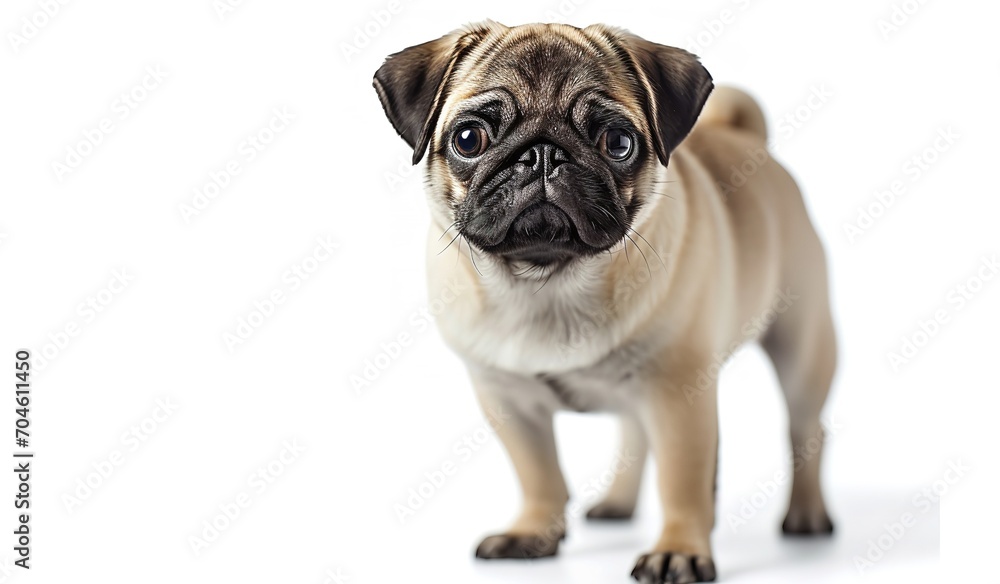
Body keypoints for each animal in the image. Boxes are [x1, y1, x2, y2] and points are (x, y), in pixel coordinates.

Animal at [376, 20, 836, 580]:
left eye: (617, 142)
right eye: (468, 138)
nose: (543, 154)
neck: (548, 285)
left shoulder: (679, 397)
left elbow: (681, 480)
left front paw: (678, 549)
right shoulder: (508, 401)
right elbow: (538, 473)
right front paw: (532, 531)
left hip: (803, 349)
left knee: (805, 430)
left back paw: (807, 515)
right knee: (634, 436)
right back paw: (617, 503)